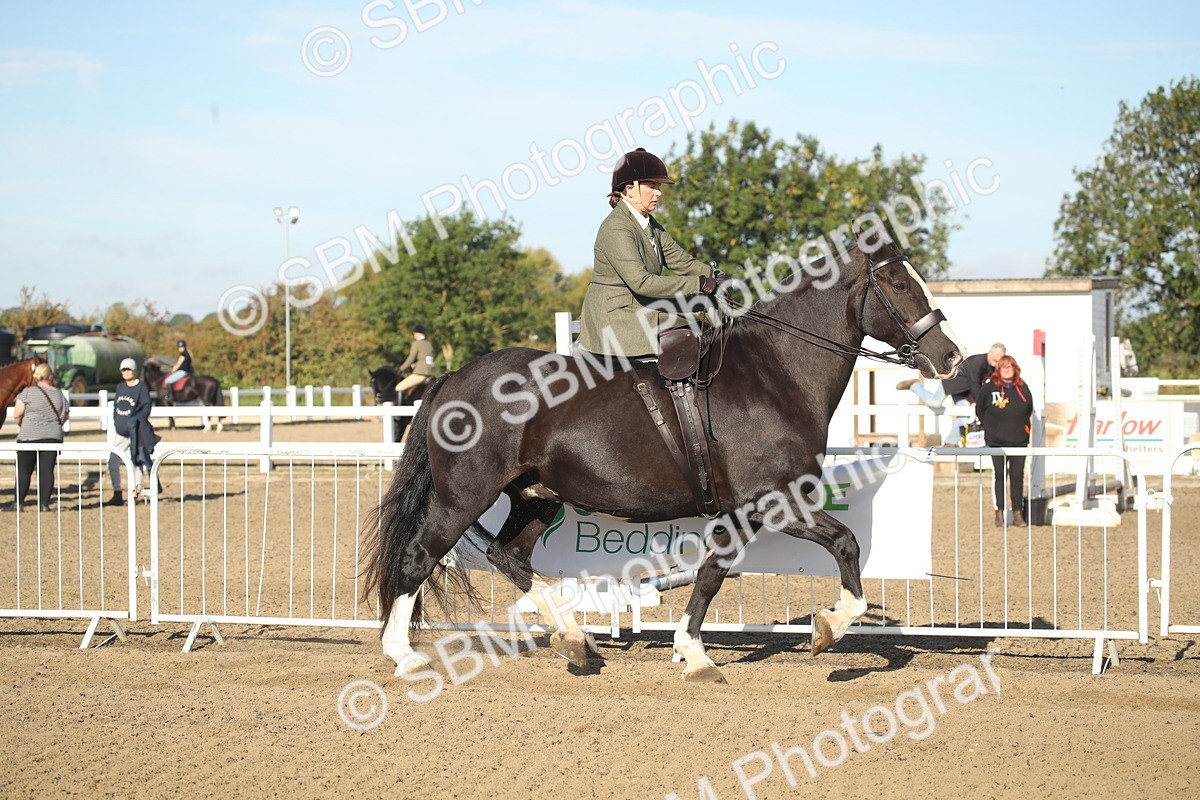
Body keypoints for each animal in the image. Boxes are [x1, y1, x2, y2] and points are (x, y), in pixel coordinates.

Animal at [363, 240, 966, 682]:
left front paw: (692, 652)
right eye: (898, 284)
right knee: (419, 556)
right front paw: (829, 628)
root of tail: (455, 378)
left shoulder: (742, 512)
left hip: (535, 497)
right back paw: (404, 655)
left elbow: (711, 574)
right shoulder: (776, 501)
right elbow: (845, 544)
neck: (773, 375)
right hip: (465, 495)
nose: (951, 356)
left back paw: (576, 641)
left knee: (508, 556)